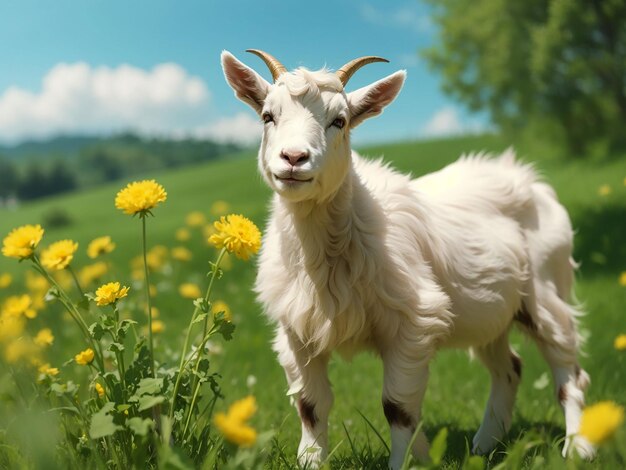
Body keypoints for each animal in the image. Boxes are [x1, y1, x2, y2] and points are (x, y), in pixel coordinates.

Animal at [222, 49, 592, 468]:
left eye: (340, 121)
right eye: (268, 116)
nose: (294, 158)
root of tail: (531, 179)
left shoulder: (413, 321)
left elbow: (397, 407)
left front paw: (406, 460)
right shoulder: (296, 329)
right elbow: (310, 404)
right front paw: (311, 461)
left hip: (546, 287)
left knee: (568, 371)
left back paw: (578, 446)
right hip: (490, 310)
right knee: (509, 367)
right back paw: (485, 444)